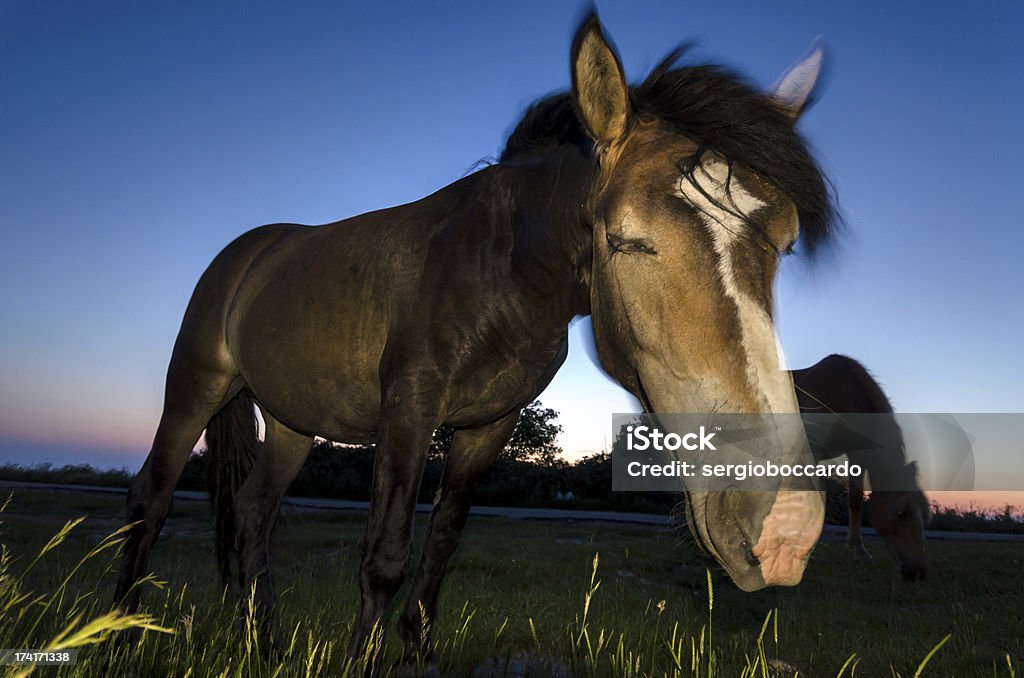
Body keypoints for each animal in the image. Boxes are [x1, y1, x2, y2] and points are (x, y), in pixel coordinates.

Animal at [116, 9, 839, 659]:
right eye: (627, 240)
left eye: (784, 244)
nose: (788, 525)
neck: (502, 269)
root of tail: (248, 253)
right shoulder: (408, 414)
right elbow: (385, 558)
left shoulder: (486, 430)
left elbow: (440, 550)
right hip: (194, 390)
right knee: (151, 497)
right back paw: (124, 630)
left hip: (292, 423)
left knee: (252, 512)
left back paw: (260, 640)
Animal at [790, 352, 929, 581]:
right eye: (902, 513)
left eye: (926, 515)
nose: (918, 572)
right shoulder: (813, 449)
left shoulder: (858, 454)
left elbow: (855, 500)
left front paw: (859, 552)